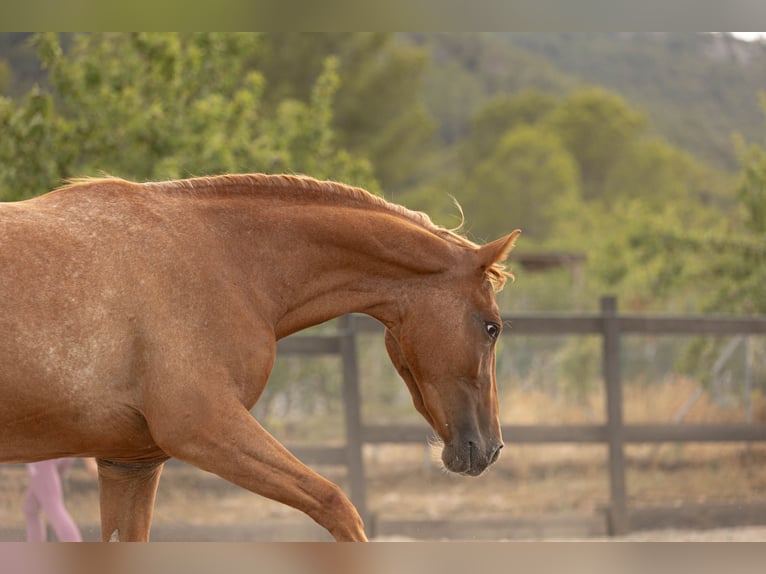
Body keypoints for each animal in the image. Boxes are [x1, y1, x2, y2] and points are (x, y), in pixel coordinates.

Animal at [0, 174, 520, 542]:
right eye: (491, 327)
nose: (491, 447)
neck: (224, 260)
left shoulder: (129, 464)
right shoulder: (205, 429)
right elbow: (337, 506)